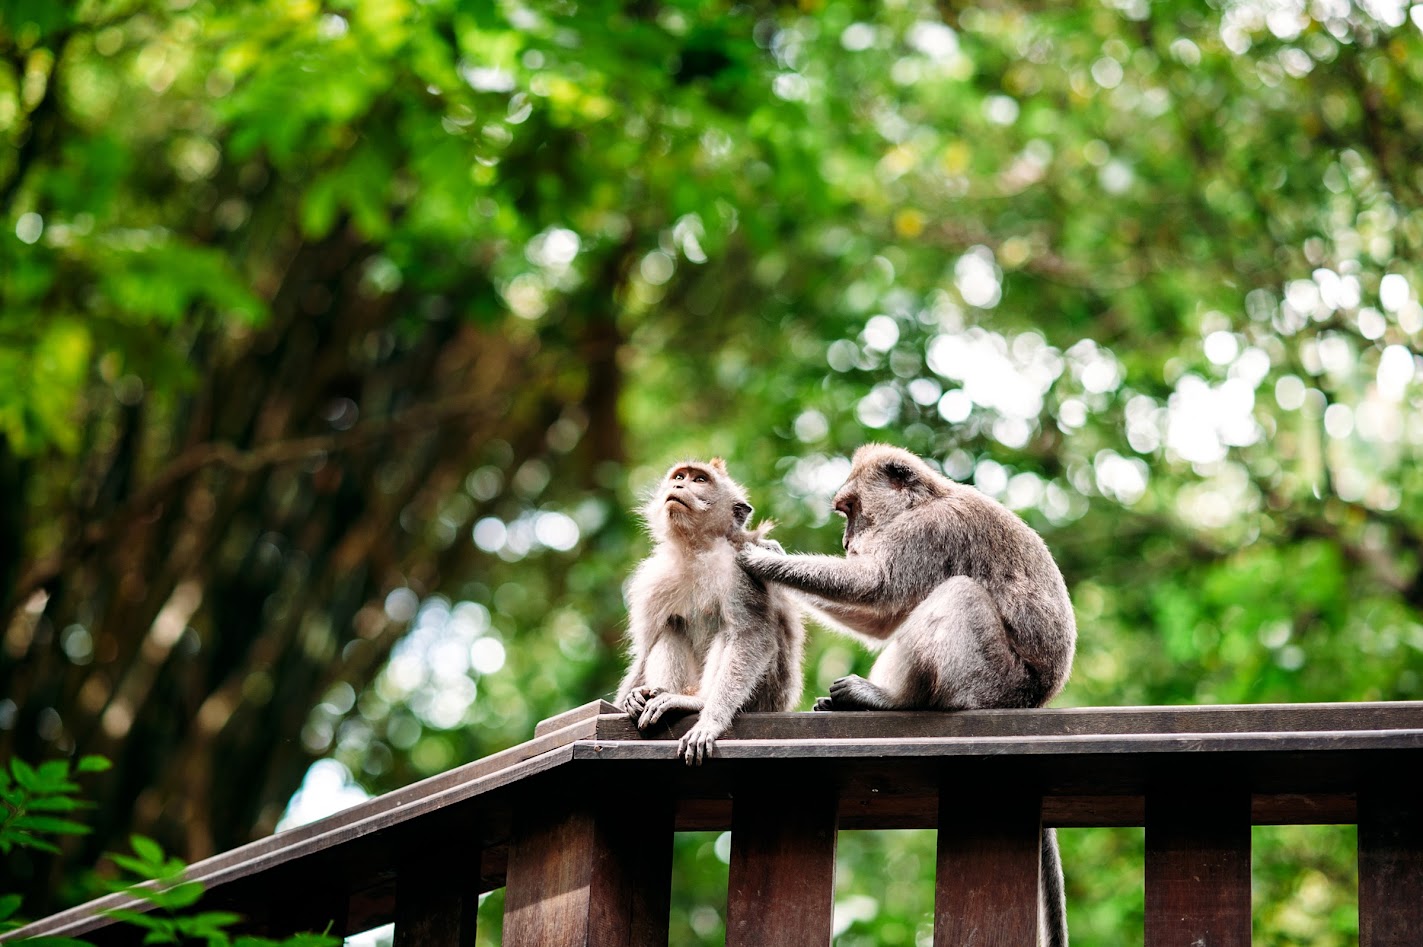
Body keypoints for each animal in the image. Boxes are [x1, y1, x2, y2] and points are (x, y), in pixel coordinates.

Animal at [617, 461, 808, 763]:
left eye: (700, 480)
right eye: (680, 476)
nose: (678, 485)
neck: (694, 550)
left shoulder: (739, 568)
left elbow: (752, 637)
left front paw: (710, 722)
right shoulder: (653, 580)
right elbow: (645, 649)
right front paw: (627, 699)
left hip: (764, 696)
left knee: (729, 632)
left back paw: (697, 701)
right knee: (670, 627)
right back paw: (653, 694)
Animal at [739, 444, 1070, 945]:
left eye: (851, 509)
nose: (846, 543)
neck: (924, 501)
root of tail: (1035, 700)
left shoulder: (929, 534)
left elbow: (875, 587)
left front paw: (761, 560)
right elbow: (882, 617)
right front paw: (774, 554)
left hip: (991, 680)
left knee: (958, 595)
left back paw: (893, 699)